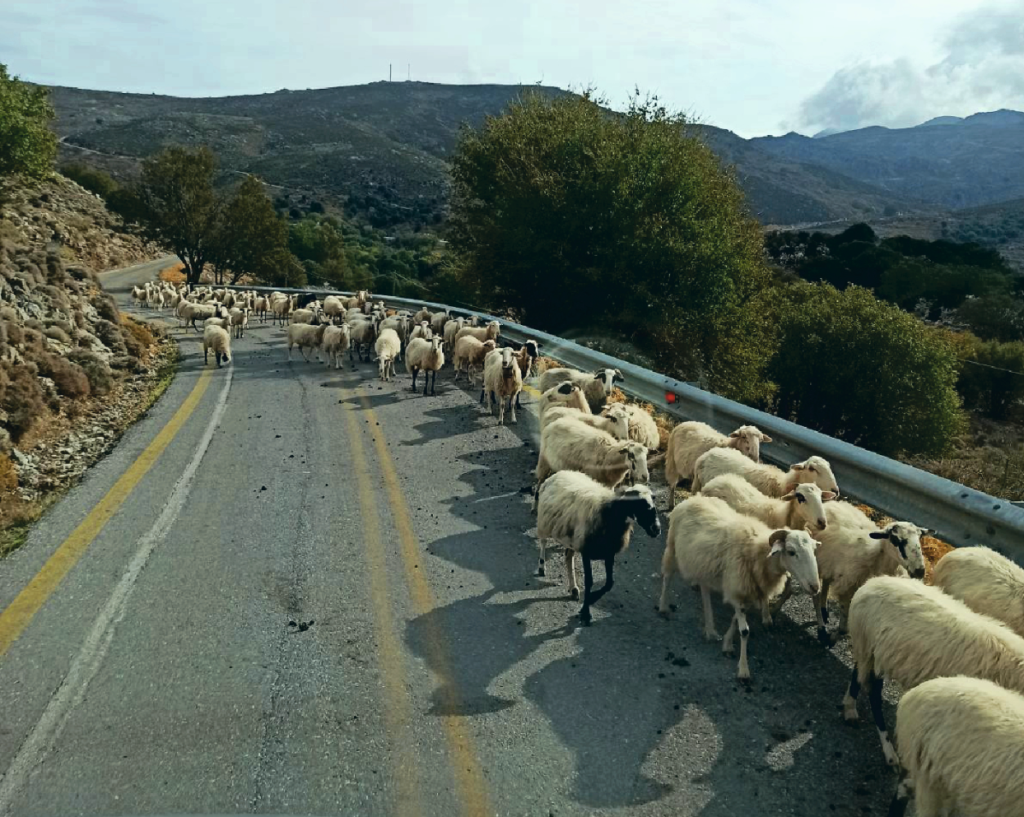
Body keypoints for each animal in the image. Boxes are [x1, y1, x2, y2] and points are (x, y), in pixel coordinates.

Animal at [532, 470, 659, 622]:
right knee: (543, 541)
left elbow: (609, 583)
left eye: (653, 502)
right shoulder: (586, 551)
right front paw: (586, 612)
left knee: (568, 557)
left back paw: (573, 588)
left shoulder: (609, 552)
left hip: (572, 537)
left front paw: (590, 601)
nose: (656, 529)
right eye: (639, 504)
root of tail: (561, 472)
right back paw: (541, 566)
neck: (608, 513)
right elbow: (589, 581)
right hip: (545, 523)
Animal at [659, 495, 819, 679]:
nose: (815, 587)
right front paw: (743, 670)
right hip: (672, 546)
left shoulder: (745, 592)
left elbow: (735, 621)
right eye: (791, 552)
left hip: (704, 565)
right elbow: (744, 631)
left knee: (704, 589)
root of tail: (694, 498)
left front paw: (727, 644)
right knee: (667, 576)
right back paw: (663, 607)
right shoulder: (737, 590)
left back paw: (710, 628)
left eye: (814, 551)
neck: (758, 553)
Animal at [843, 577, 1024, 769]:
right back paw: (888, 750)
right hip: (870, 647)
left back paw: (849, 707)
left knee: (858, 675)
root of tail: (871, 583)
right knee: (873, 694)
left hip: (871, 651)